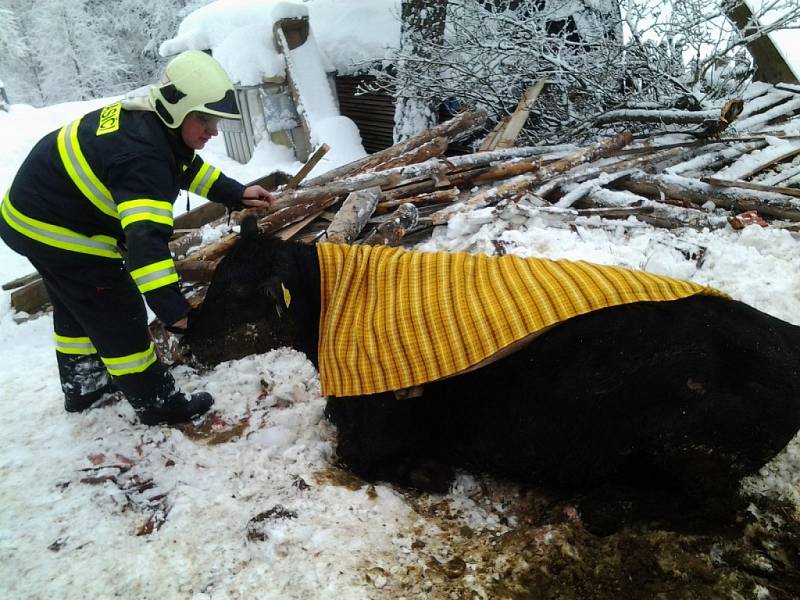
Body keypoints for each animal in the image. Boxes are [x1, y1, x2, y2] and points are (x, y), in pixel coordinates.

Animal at [188, 218, 800, 524]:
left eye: (237, 293)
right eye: (216, 278)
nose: (183, 333)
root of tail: (782, 334)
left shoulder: (375, 426)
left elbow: (359, 456)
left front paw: (428, 472)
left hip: (690, 442)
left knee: (721, 511)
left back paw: (605, 506)